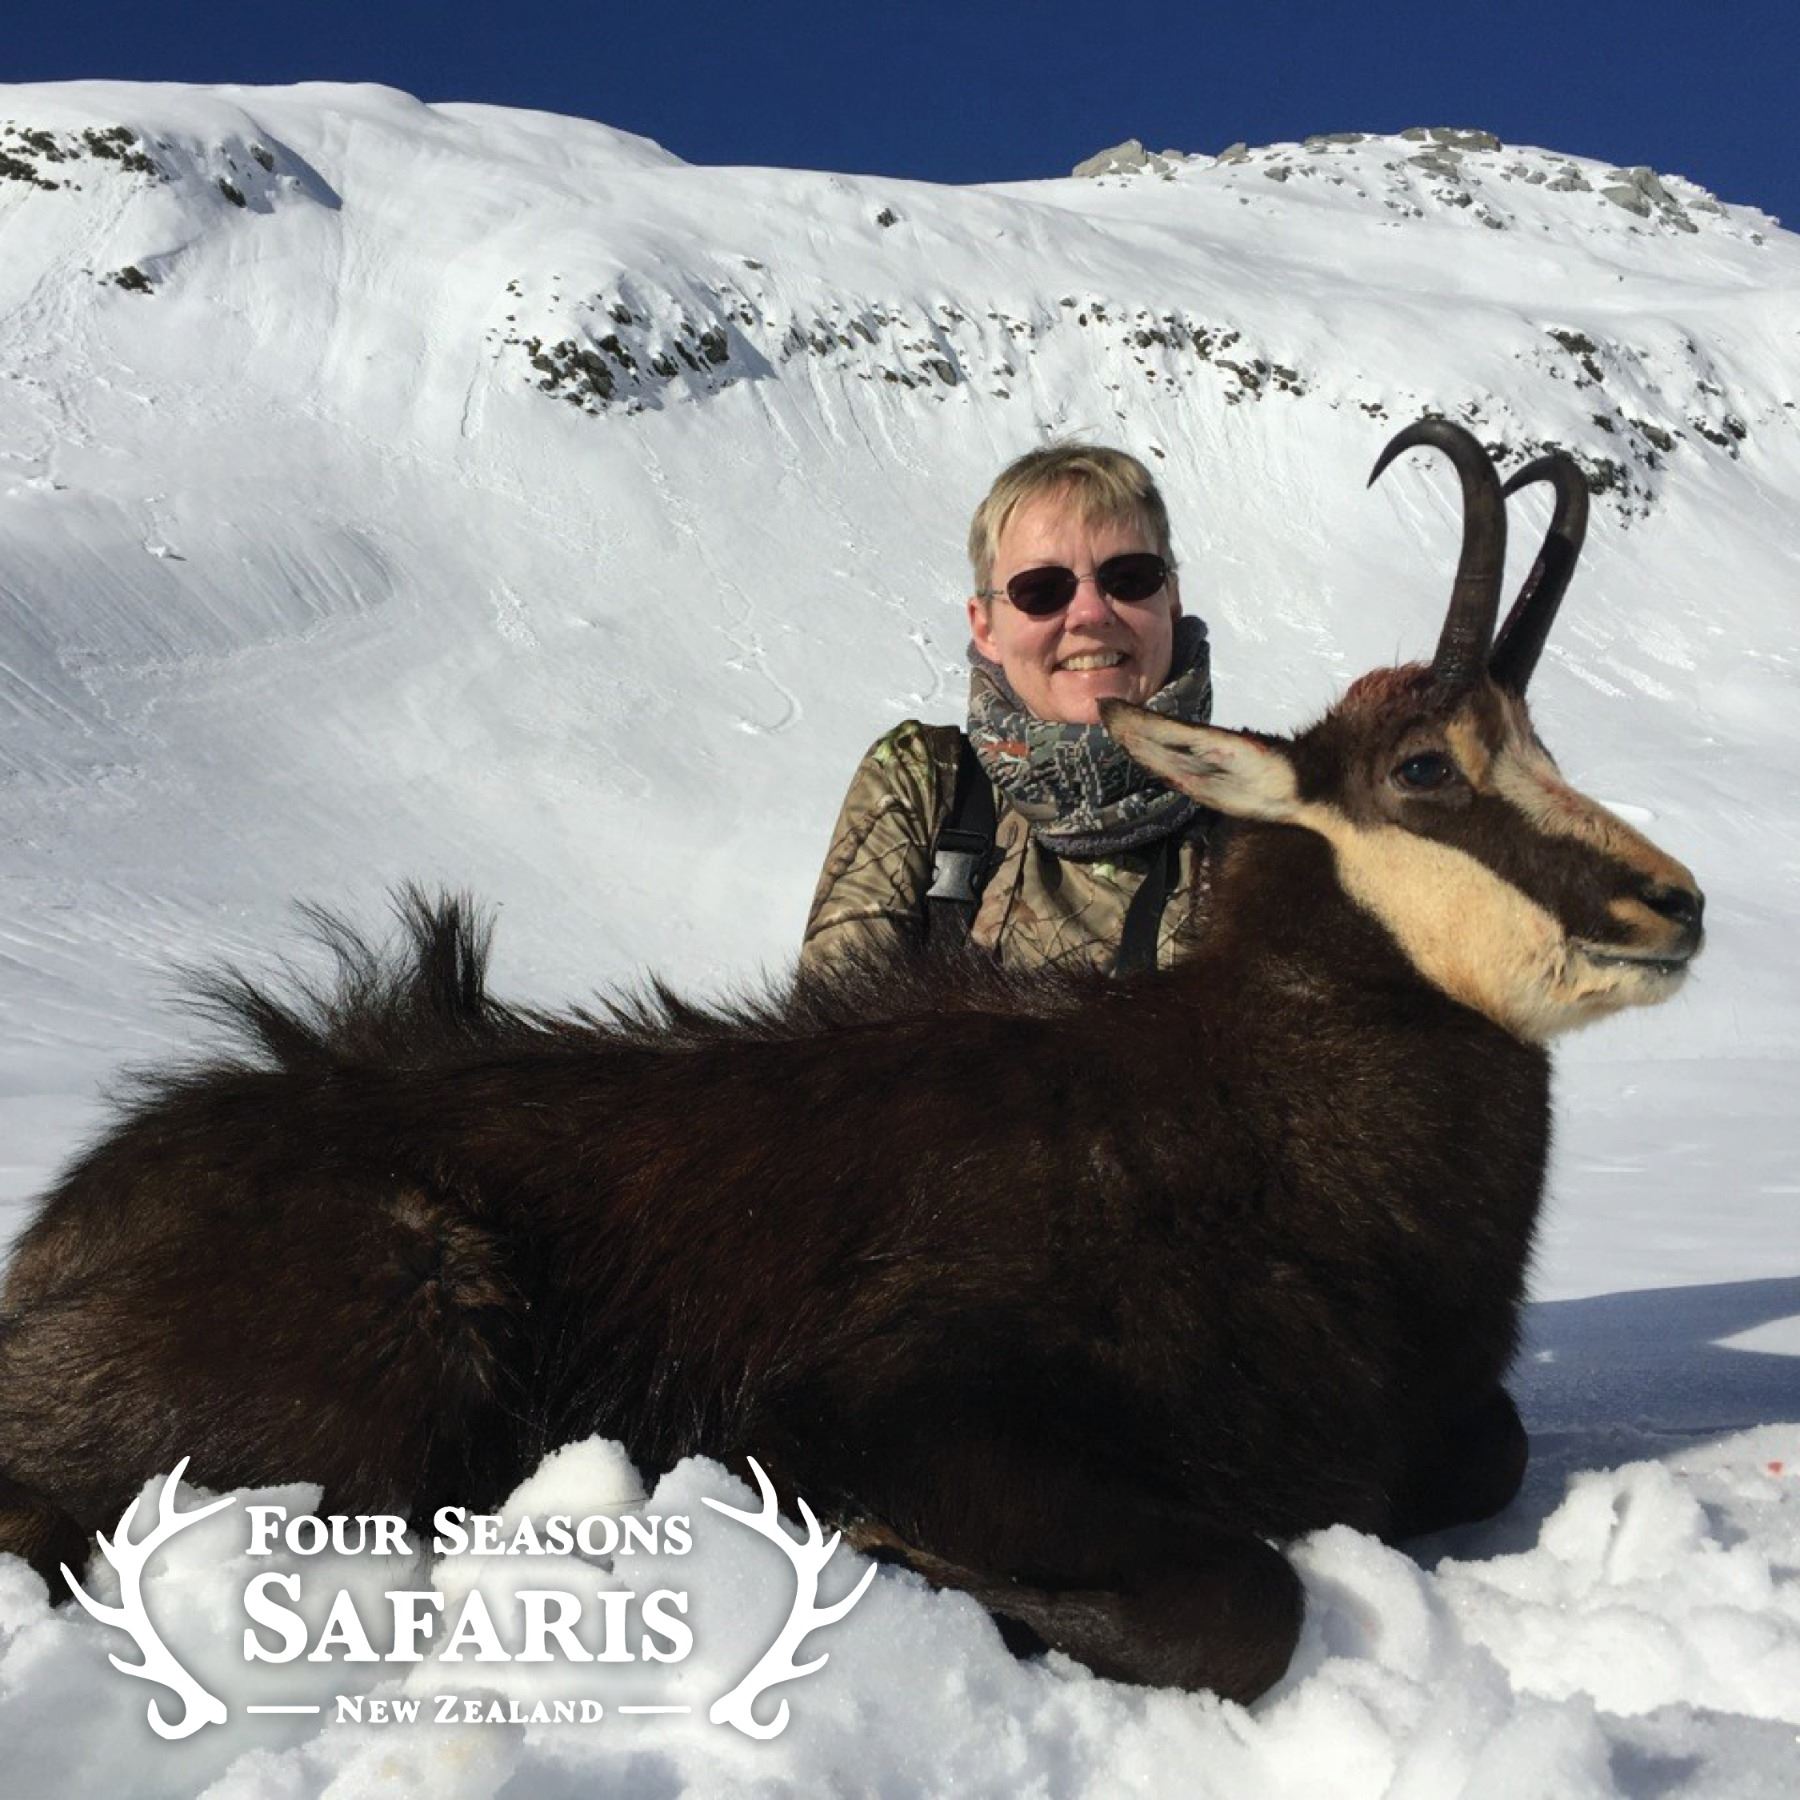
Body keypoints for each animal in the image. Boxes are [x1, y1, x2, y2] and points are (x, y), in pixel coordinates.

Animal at [0, 420, 1702, 1704]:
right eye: (1425, 768)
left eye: (1542, 749)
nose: (1675, 904)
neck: (1253, 1129)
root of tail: (60, 1246)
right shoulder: (906, 1398)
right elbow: (1246, 1607)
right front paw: (885, 1555)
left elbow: (1480, 1456)